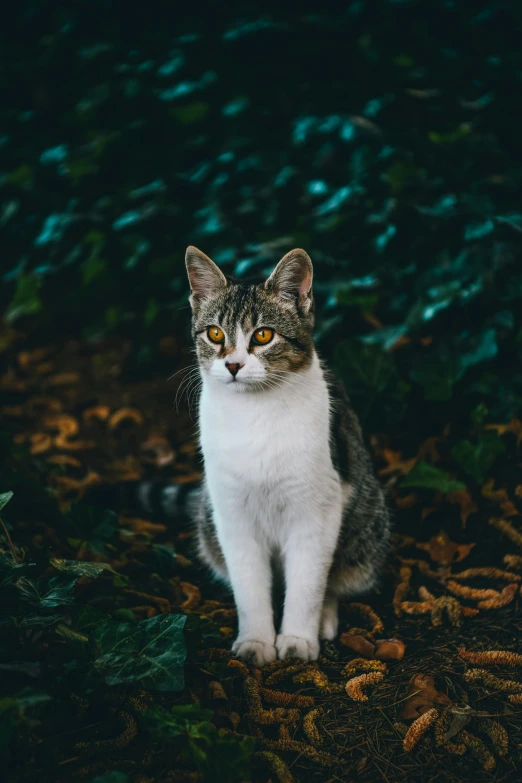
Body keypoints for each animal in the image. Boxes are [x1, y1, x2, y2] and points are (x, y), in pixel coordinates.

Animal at [185, 245, 388, 668]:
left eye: (263, 335)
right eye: (215, 334)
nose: (233, 365)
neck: (254, 414)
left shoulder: (317, 512)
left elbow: (308, 584)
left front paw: (297, 638)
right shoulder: (231, 513)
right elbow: (249, 586)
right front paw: (256, 640)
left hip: (366, 523)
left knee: (332, 580)